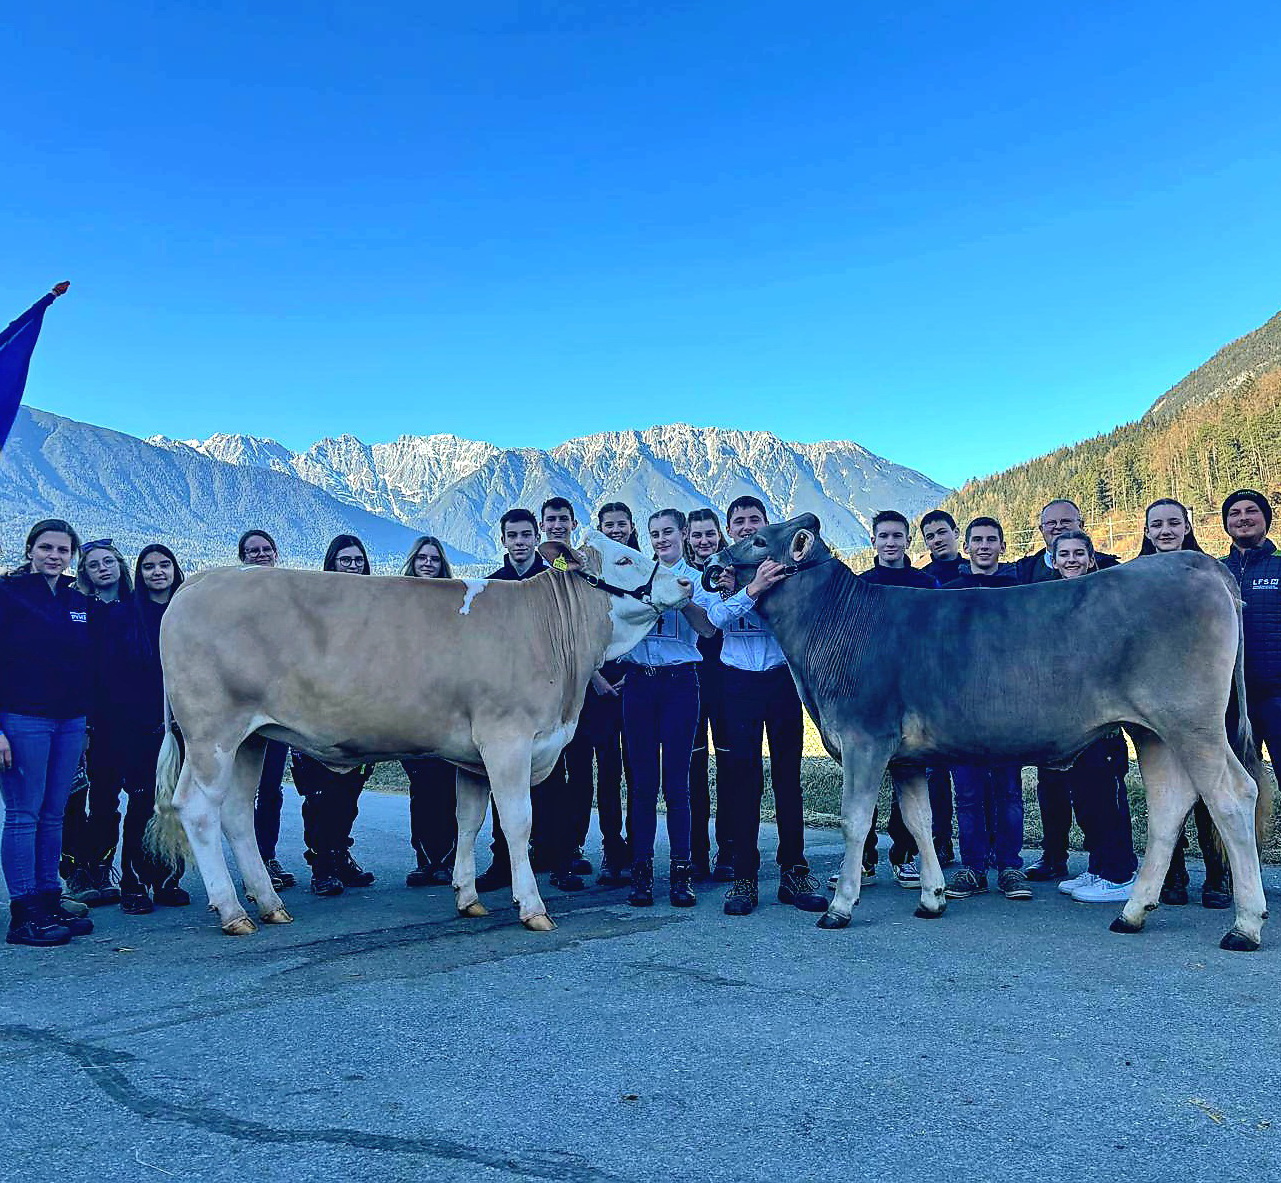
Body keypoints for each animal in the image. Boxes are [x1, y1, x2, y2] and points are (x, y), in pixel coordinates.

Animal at [149, 533, 691, 933]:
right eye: (624, 558)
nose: (686, 579)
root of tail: (201, 580)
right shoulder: (508, 738)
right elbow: (517, 823)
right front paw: (532, 907)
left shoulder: (475, 754)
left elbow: (468, 821)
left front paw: (468, 897)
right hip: (212, 732)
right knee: (198, 809)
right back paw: (233, 912)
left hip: (252, 739)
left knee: (239, 814)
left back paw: (268, 904)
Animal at [712, 515, 1270, 953]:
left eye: (757, 540)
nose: (711, 563)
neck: (834, 624)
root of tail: (1199, 563)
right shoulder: (907, 758)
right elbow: (919, 821)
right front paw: (932, 899)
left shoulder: (863, 736)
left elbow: (855, 821)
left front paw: (840, 906)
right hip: (1152, 730)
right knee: (1170, 805)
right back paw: (1132, 914)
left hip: (1192, 722)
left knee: (1233, 795)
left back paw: (1245, 925)